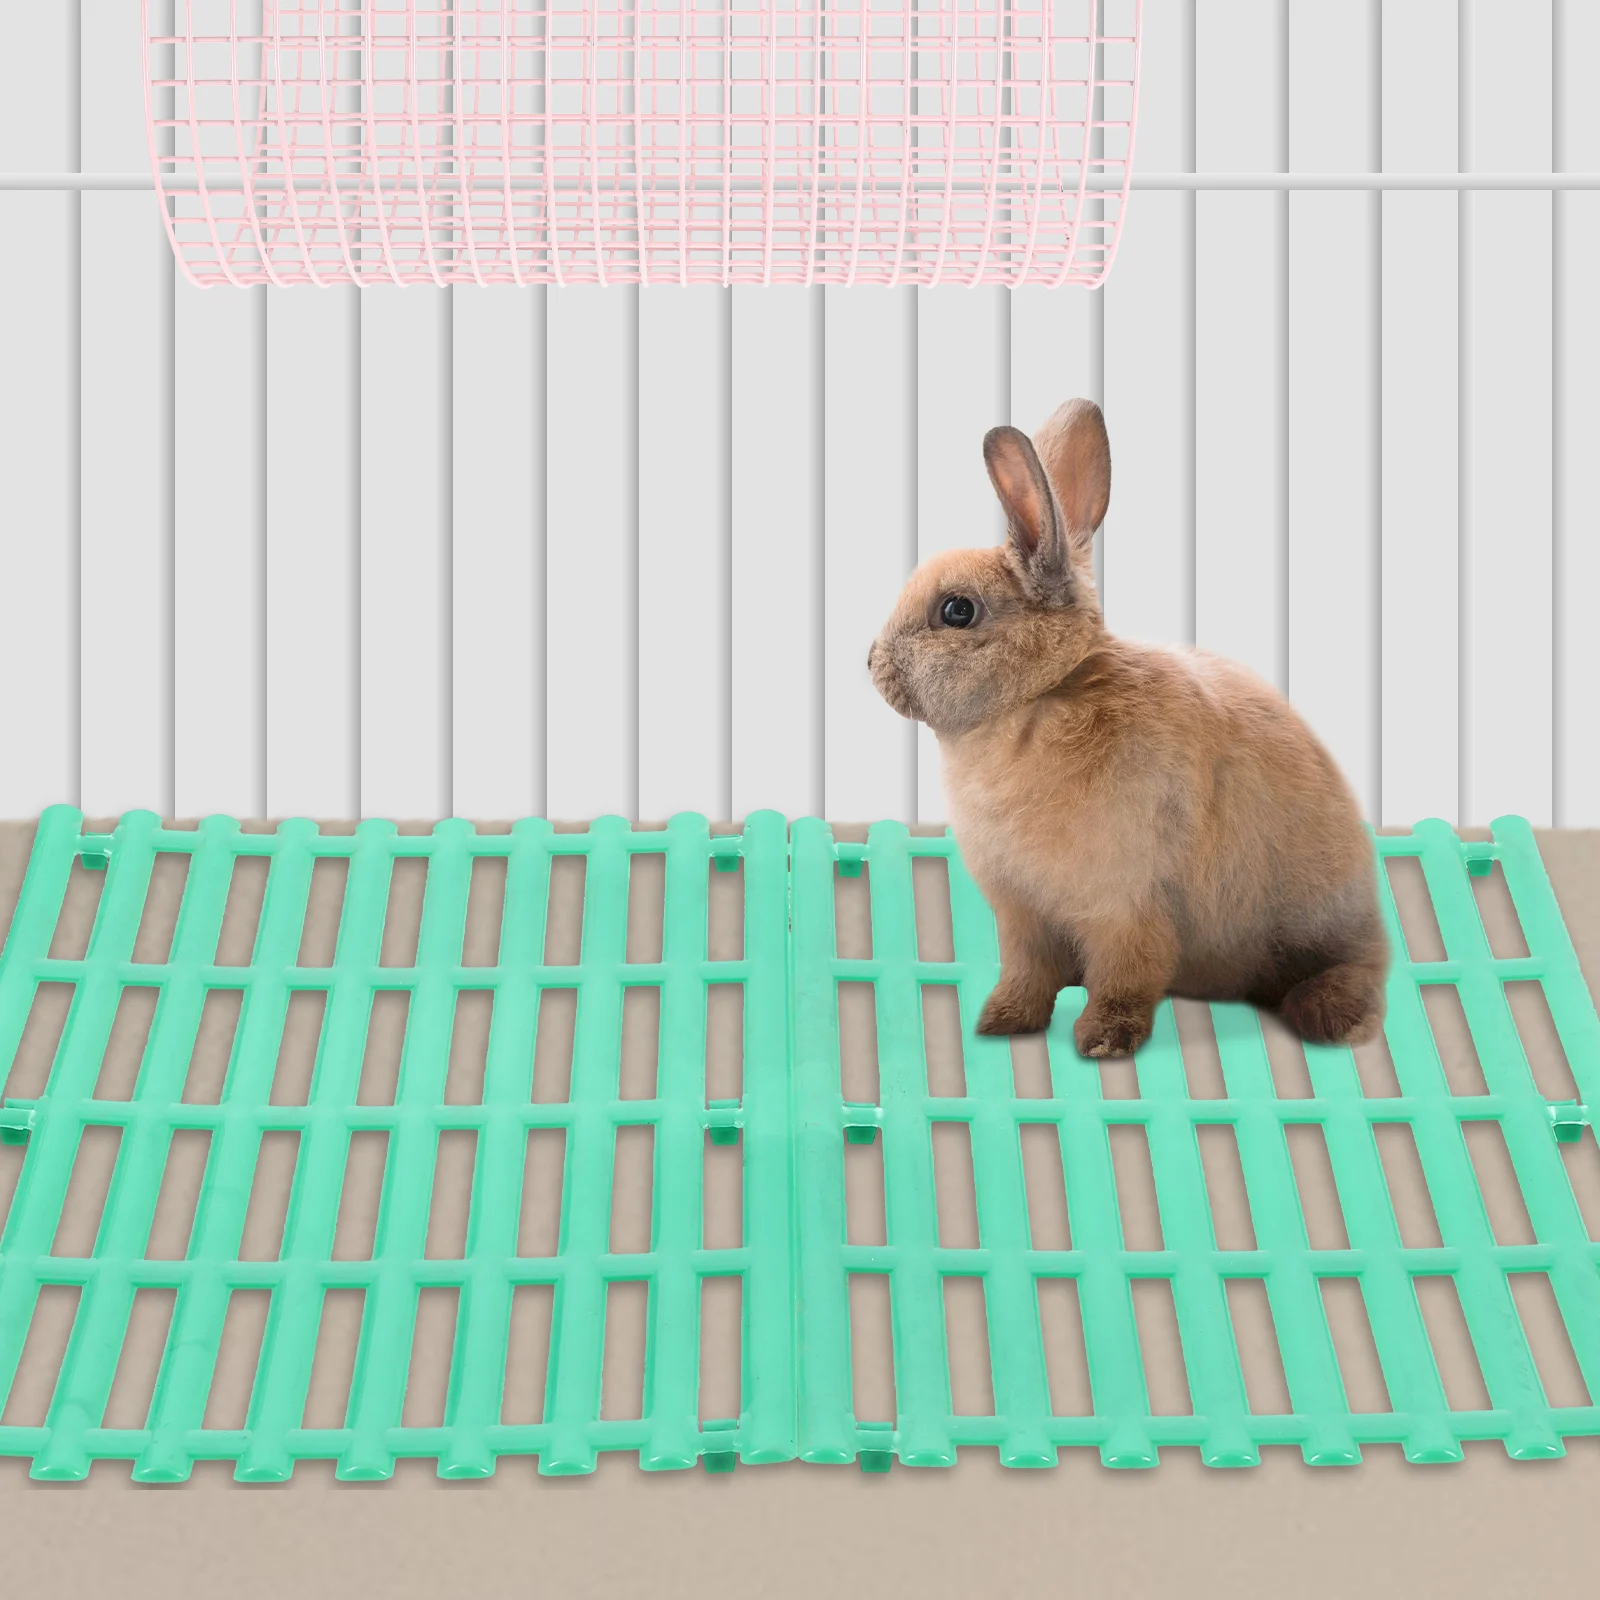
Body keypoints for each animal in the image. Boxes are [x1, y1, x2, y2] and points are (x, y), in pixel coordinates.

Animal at [866, 398, 1388, 1060]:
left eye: (957, 610)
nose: (870, 664)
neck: (1039, 697)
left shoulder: (1125, 905)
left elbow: (1127, 974)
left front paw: (1104, 1040)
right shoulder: (1022, 915)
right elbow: (1028, 973)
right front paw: (1001, 1021)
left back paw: (1331, 1016)